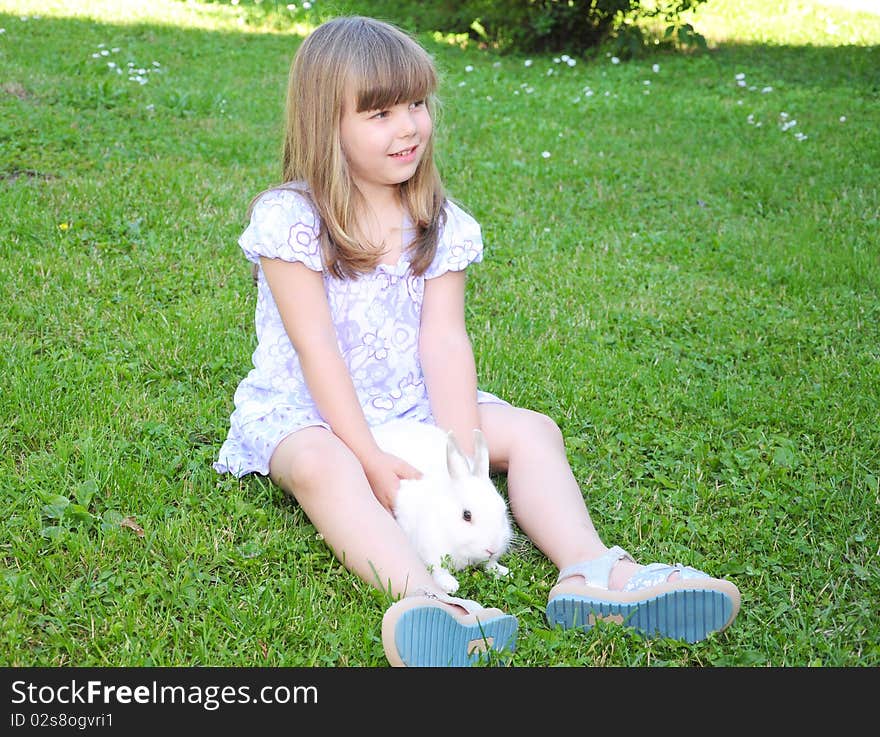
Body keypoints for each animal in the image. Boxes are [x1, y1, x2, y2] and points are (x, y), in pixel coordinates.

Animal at [368, 416, 512, 596]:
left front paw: (503, 571)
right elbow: (438, 570)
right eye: (467, 515)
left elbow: (489, 565)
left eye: (503, 511)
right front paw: (451, 585)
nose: (492, 549)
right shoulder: (430, 550)